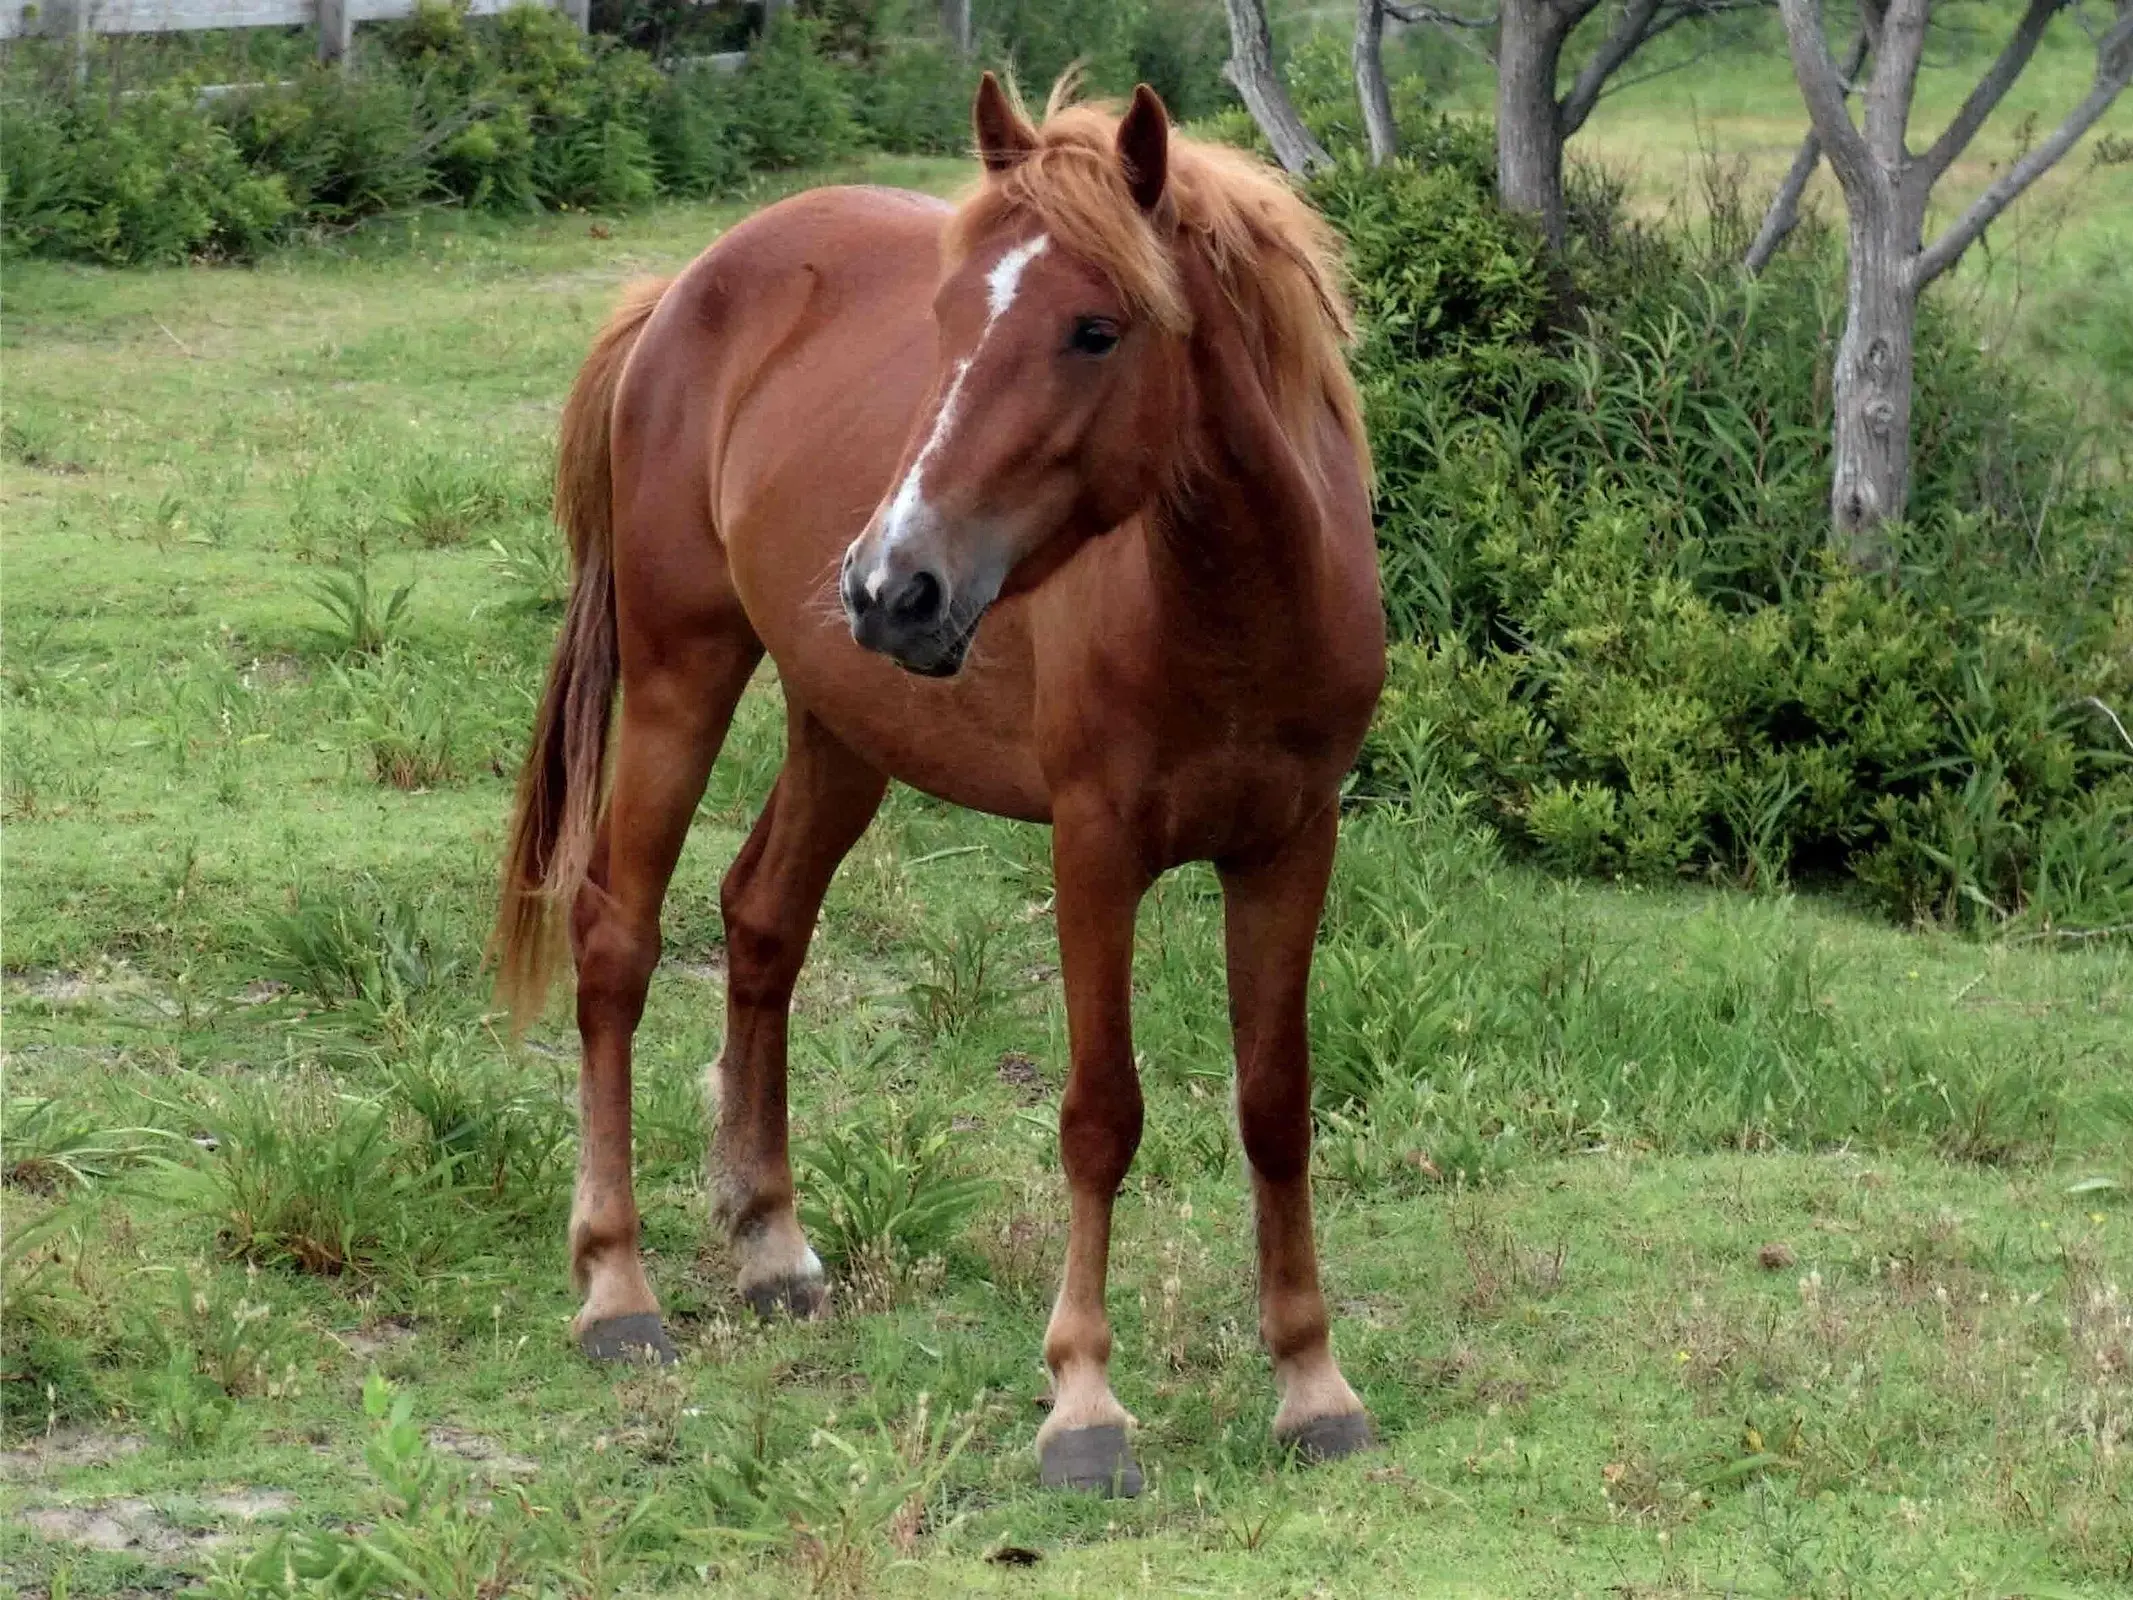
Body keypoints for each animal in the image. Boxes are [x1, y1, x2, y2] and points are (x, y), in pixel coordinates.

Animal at [488, 81, 1382, 1501]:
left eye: (1095, 329)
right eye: (950, 319)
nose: (891, 584)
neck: (1234, 602)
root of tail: (683, 288)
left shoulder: (1293, 845)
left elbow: (1275, 1104)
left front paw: (1311, 1379)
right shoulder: (1094, 849)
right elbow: (1100, 1113)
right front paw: (1084, 1402)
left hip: (844, 728)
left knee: (763, 919)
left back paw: (770, 1242)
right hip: (684, 676)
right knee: (617, 938)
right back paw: (617, 1289)